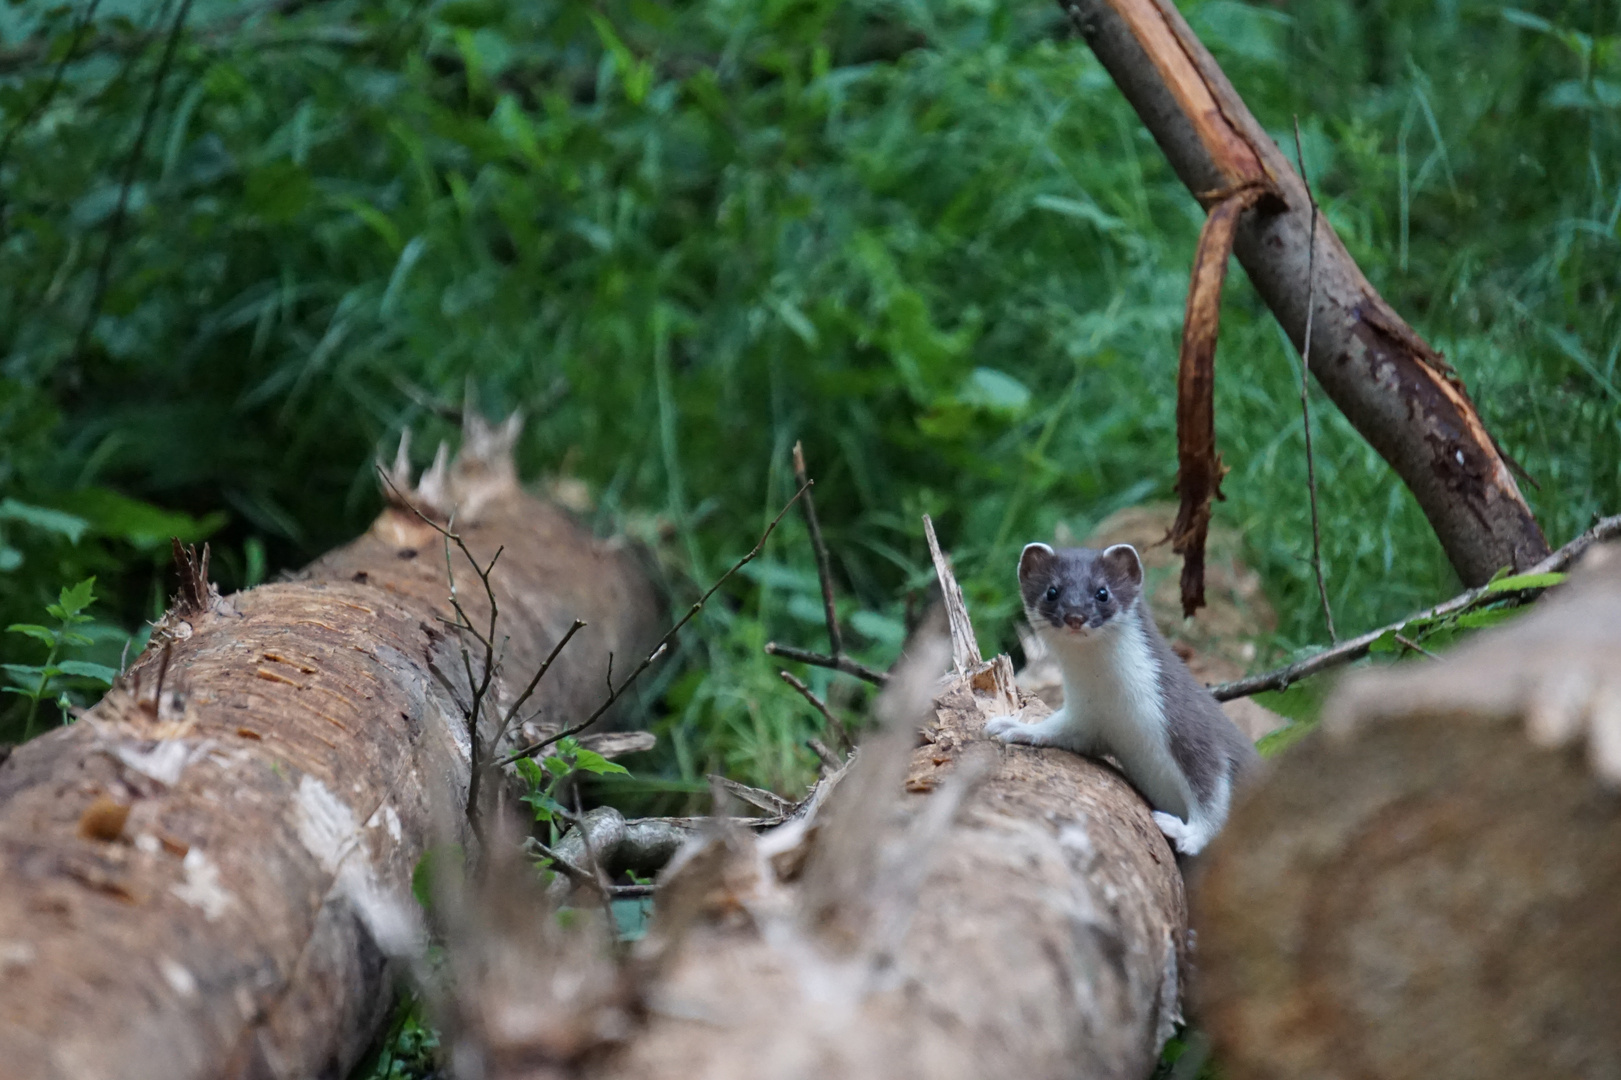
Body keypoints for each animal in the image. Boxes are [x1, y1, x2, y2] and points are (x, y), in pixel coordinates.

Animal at [979, 541, 1257, 856]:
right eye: (1052, 591)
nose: (1075, 616)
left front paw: (1187, 833)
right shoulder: (1086, 718)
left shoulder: (1190, 726)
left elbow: (1214, 795)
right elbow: (1058, 730)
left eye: (1102, 592)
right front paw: (1013, 727)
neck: (1116, 702)